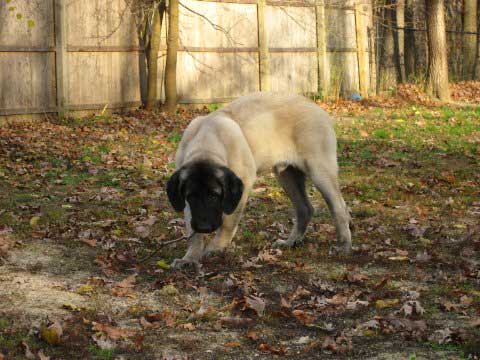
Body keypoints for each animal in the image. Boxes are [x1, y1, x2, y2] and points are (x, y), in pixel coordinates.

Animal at [167, 93, 350, 270]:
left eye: (214, 196)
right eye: (191, 196)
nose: (204, 227)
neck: (206, 147)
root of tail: (315, 106)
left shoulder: (242, 186)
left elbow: (228, 222)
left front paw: (216, 248)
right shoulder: (189, 204)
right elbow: (192, 233)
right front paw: (190, 258)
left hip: (319, 171)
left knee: (339, 207)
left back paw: (343, 245)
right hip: (287, 175)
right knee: (305, 209)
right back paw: (290, 242)